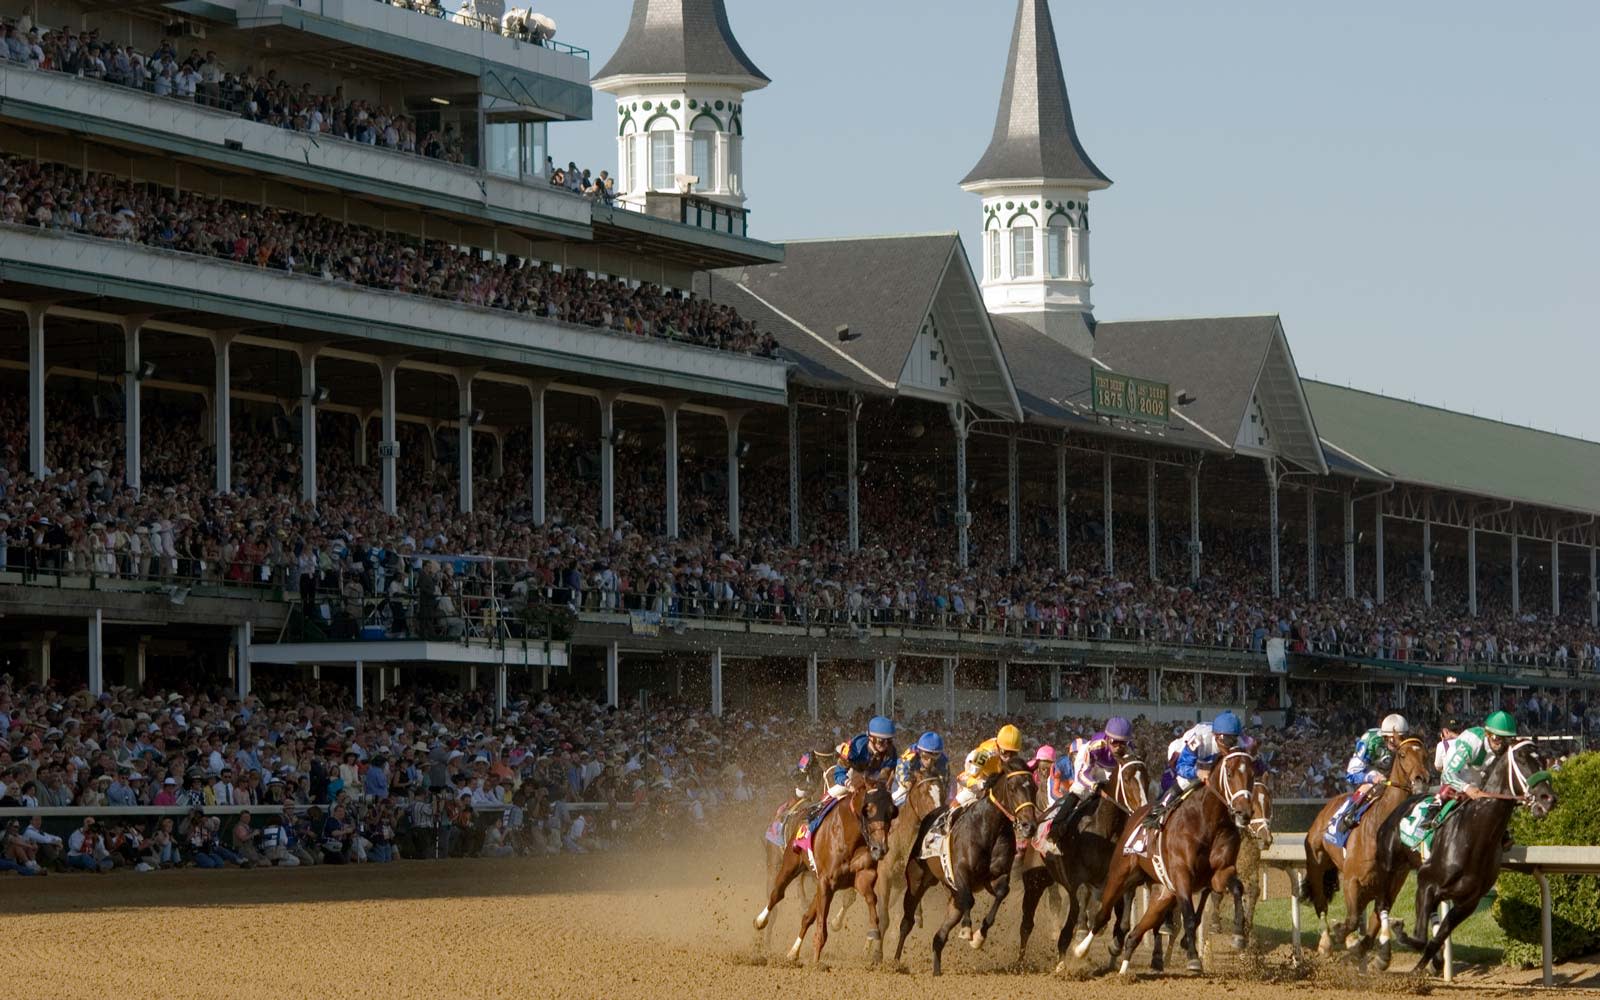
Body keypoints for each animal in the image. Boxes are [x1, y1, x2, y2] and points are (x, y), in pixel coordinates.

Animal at [752, 777, 896, 966]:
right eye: (869, 809)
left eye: (892, 811)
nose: (880, 848)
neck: (849, 836)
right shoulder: (826, 881)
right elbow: (821, 927)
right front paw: (816, 963)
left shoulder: (859, 877)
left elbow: (871, 898)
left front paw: (873, 930)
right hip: (789, 864)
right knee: (777, 894)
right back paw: (760, 922)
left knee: (807, 916)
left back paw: (793, 952)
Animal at [896, 768, 1043, 972]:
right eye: (1012, 788)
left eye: (1035, 788)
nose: (1030, 826)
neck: (989, 827)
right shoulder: (961, 873)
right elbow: (969, 899)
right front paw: (967, 930)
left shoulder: (993, 877)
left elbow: (1001, 892)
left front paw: (979, 937)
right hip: (917, 880)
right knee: (907, 922)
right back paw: (893, 962)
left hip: (950, 895)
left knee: (939, 938)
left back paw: (936, 971)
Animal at [1068, 748, 1254, 972]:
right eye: (1230, 773)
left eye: (1252, 775)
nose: (1244, 813)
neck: (1208, 823)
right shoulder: (1181, 875)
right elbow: (1189, 915)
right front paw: (1193, 958)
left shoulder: (1220, 873)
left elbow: (1237, 889)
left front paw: (1239, 936)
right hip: (1120, 875)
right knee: (1102, 914)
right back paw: (1080, 950)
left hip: (1162, 893)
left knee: (1136, 933)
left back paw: (1125, 969)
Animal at [1305, 732, 1433, 966]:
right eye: (1402, 755)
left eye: (1426, 755)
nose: (1422, 779)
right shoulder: (1352, 880)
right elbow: (1353, 919)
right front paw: (1342, 935)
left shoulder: (1391, 885)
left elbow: (1374, 920)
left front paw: (1373, 953)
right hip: (1317, 865)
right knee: (1321, 904)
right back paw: (1326, 942)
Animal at [1376, 736, 1548, 972]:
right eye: (1521, 759)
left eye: (1544, 760)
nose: (1548, 798)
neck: (1473, 836)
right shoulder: (1426, 883)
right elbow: (1420, 937)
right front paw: (1400, 932)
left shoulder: (1467, 903)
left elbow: (1435, 939)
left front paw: (1424, 967)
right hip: (1389, 866)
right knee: (1381, 905)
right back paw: (1382, 954)